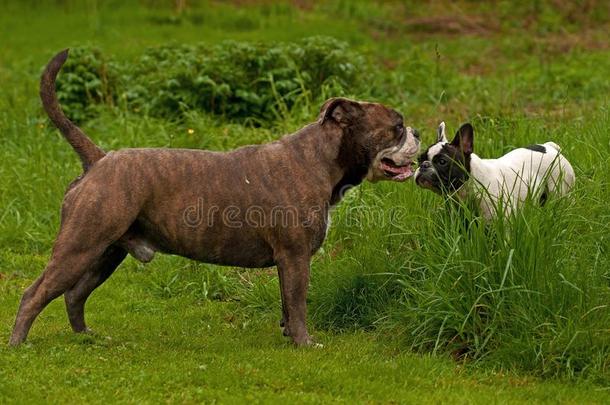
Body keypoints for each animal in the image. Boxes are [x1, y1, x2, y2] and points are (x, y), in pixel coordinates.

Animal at [8, 49, 418, 348]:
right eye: (396, 126)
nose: (415, 131)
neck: (320, 158)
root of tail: (99, 159)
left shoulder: (289, 263)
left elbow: (287, 303)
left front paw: (289, 334)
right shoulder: (296, 257)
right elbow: (299, 303)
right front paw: (305, 343)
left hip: (105, 253)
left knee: (74, 295)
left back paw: (88, 339)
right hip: (80, 247)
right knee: (35, 293)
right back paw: (18, 345)